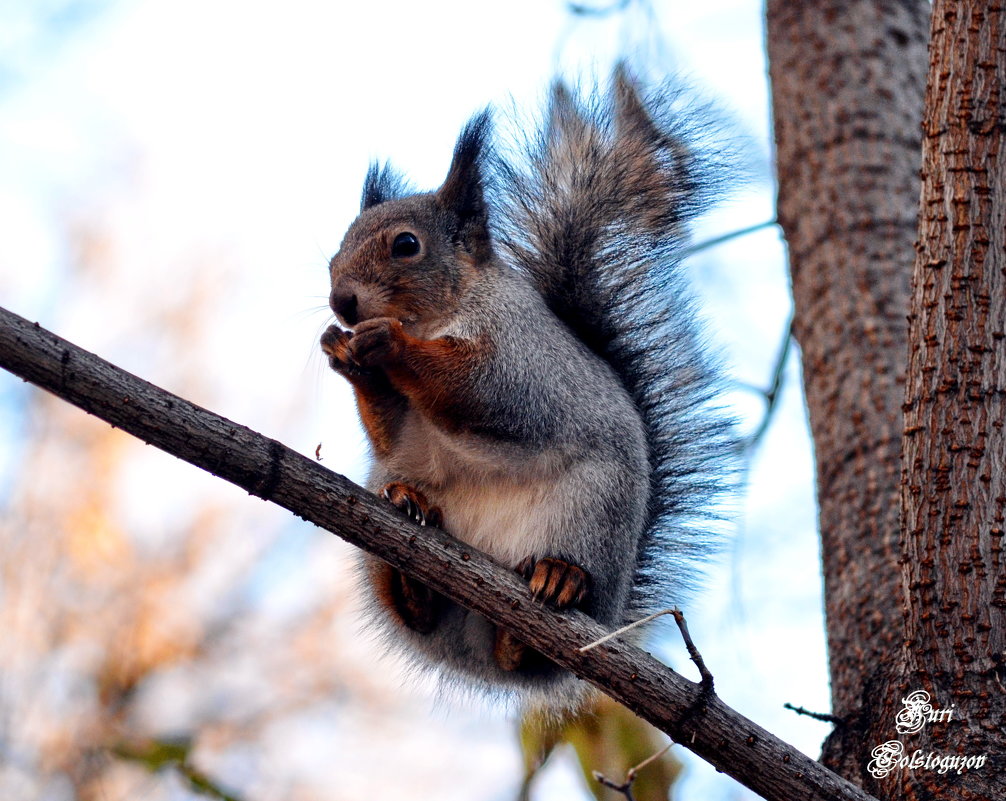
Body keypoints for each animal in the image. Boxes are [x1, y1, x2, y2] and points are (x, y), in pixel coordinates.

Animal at [321, 65, 740, 708]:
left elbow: (484, 393)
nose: (342, 302)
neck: (441, 314)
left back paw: (556, 585)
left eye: (406, 245)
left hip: (591, 516)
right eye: (332, 256)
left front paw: (388, 343)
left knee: (533, 637)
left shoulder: (522, 357)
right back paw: (412, 535)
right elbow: (391, 433)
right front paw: (345, 354)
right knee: (419, 609)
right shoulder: (399, 435)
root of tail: (479, 658)